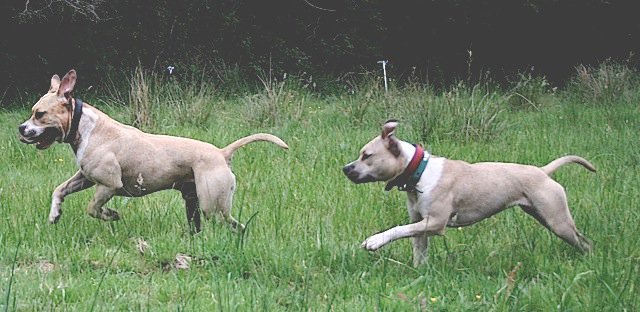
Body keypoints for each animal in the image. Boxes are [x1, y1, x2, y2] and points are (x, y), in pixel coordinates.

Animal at [18, 70, 288, 232]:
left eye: (39, 114)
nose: (21, 128)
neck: (84, 126)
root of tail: (222, 153)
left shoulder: (108, 185)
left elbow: (93, 208)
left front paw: (110, 214)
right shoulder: (85, 177)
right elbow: (59, 190)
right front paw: (55, 214)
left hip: (211, 203)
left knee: (227, 222)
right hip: (194, 201)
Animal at [344, 119, 596, 266]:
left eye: (366, 156)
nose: (345, 168)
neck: (419, 171)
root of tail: (543, 171)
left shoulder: (434, 222)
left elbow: (397, 229)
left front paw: (375, 241)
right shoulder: (419, 223)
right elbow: (418, 249)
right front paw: (419, 273)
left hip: (558, 221)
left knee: (584, 241)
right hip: (542, 216)